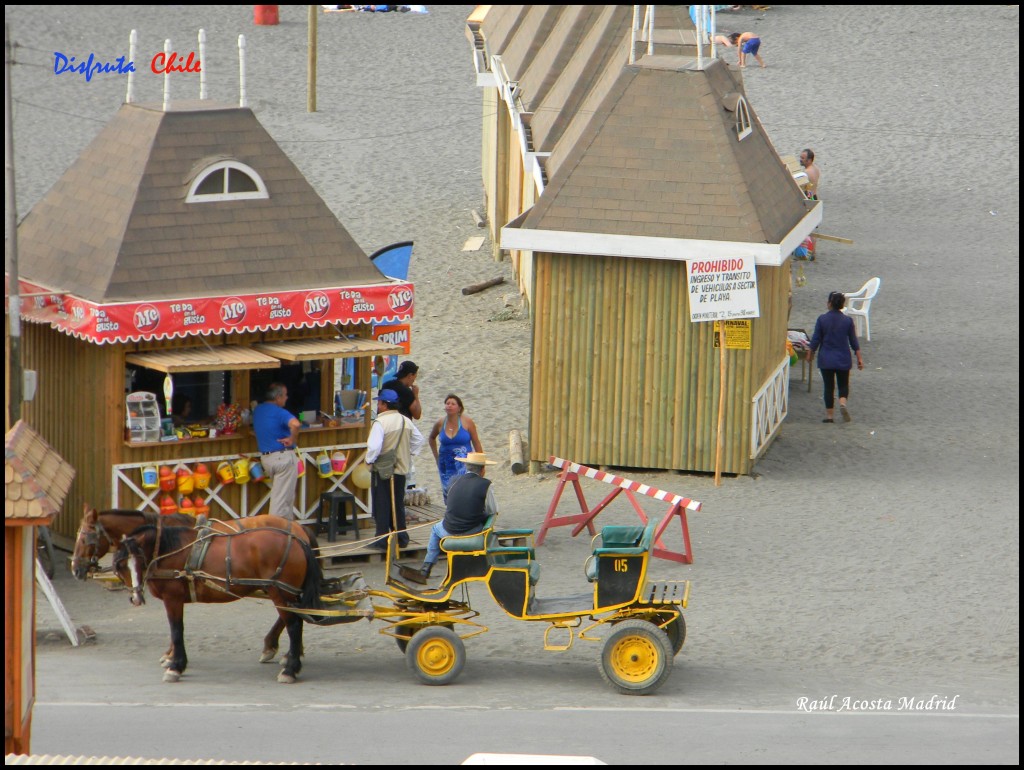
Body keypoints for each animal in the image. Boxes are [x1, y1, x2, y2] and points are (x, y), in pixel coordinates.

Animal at [112, 524, 321, 679]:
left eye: (136, 560)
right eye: (120, 566)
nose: (136, 598)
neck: (171, 551)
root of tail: (297, 539)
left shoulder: (172, 598)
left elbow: (176, 629)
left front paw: (176, 665)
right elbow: (175, 630)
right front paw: (172, 659)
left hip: (280, 591)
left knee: (294, 625)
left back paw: (290, 669)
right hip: (283, 593)